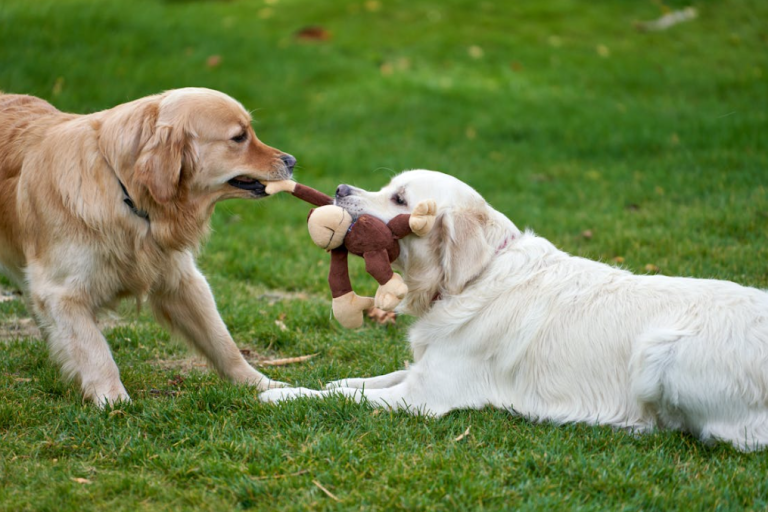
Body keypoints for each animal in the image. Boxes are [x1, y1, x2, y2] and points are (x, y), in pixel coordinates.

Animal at [0, 89, 294, 408]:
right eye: (239, 137)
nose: (291, 160)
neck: (125, 191)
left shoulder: (182, 281)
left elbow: (223, 342)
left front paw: (262, 384)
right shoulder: (61, 294)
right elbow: (96, 353)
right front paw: (115, 403)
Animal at [260, 170, 768, 450]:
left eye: (400, 199)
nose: (340, 187)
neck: (474, 277)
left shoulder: (423, 398)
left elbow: (339, 397)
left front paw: (284, 395)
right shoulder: (426, 370)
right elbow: (369, 379)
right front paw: (339, 378)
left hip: (662, 355)